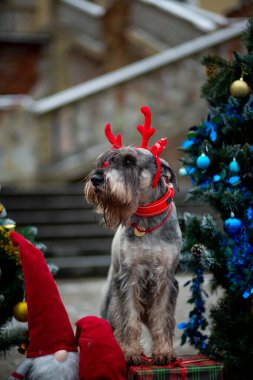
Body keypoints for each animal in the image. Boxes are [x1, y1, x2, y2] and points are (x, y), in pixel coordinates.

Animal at [85, 106, 182, 366]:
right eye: (106, 161)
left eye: (129, 160)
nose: (96, 179)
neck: (147, 221)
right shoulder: (129, 276)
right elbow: (128, 318)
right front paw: (129, 352)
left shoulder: (166, 277)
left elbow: (163, 318)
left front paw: (163, 352)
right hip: (108, 304)